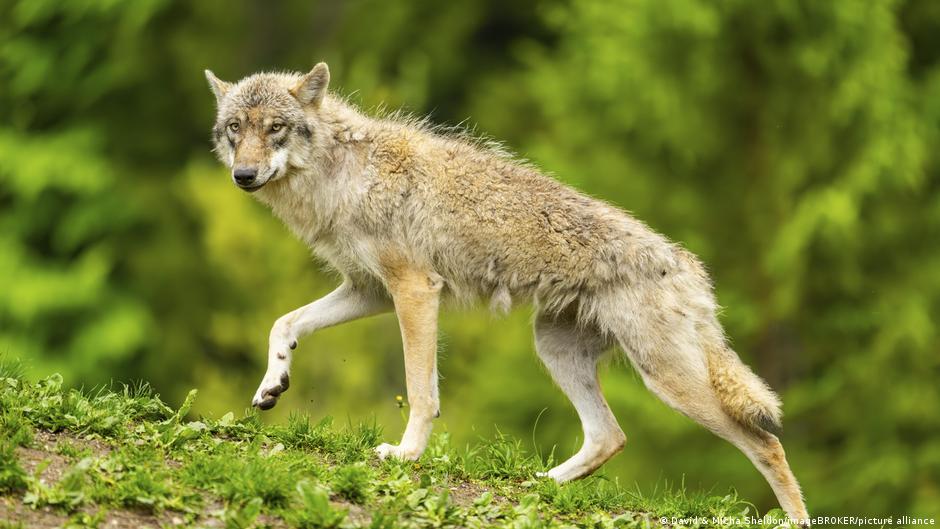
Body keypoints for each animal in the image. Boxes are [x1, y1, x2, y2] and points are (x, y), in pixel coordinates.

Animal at [205, 63, 810, 525]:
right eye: (235, 128)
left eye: (276, 128)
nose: (244, 175)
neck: (343, 176)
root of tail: (690, 269)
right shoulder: (369, 291)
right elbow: (284, 323)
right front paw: (272, 384)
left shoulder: (414, 289)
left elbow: (420, 391)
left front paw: (405, 454)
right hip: (555, 350)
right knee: (610, 437)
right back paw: (541, 485)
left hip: (667, 381)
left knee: (767, 444)